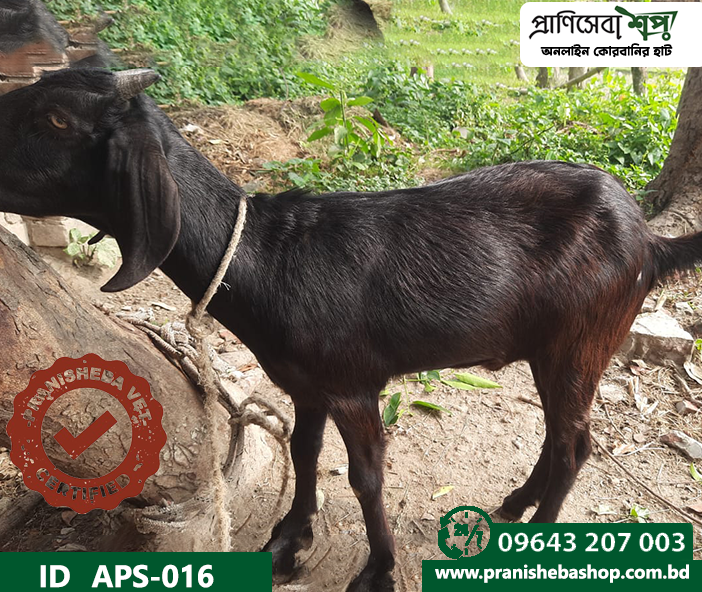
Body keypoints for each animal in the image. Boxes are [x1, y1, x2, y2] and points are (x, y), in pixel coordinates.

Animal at [0, 68, 700, 591]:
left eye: (57, 121)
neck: (270, 258)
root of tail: (650, 242)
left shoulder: (354, 385)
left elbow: (366, 478)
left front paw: (377, 570)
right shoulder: (305, 384)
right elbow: (306, 451)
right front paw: (288, 540)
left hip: (581, 342)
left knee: (575, 444)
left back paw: (542, 539)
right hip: (552, 348)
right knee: (559, 437)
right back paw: (515, 504)